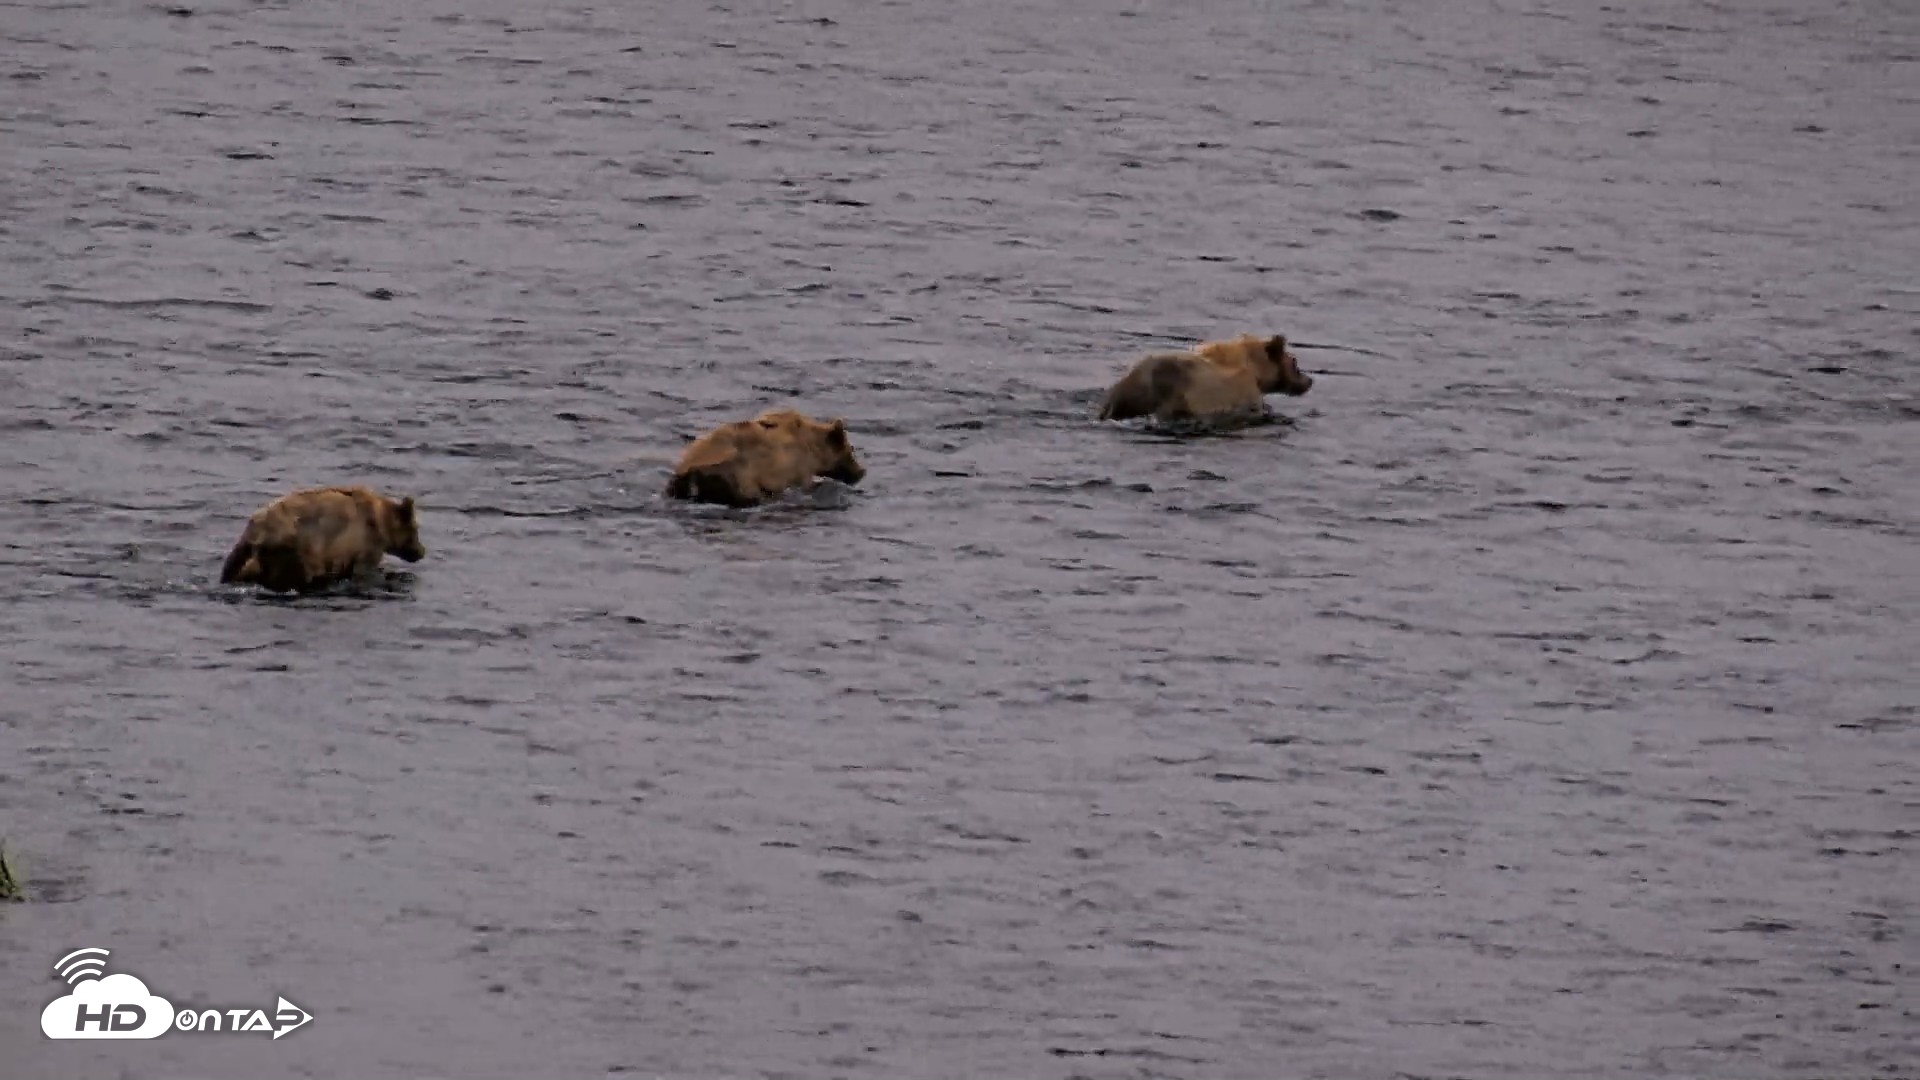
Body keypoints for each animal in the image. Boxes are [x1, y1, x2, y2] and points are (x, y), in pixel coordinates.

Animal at [219, 485, 426, 594]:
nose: (421, 551)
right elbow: (365, 570)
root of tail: (257, 529)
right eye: (415, 528)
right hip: (297, 546)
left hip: (245, 547)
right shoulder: (365, 542)